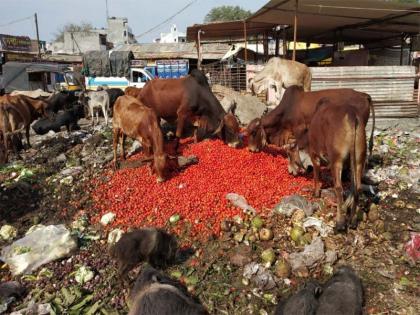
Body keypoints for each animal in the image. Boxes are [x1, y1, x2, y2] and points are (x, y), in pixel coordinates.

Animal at [290, 99, 366, 232]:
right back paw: (352, 221)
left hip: (336, 160)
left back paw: (340, 223)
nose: (290, 171)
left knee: (339, 188)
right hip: (358, 159)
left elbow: (316, 174)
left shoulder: (314, 155)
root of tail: (352, 115)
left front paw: (316, 193)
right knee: (357, 187)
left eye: (289, 154)